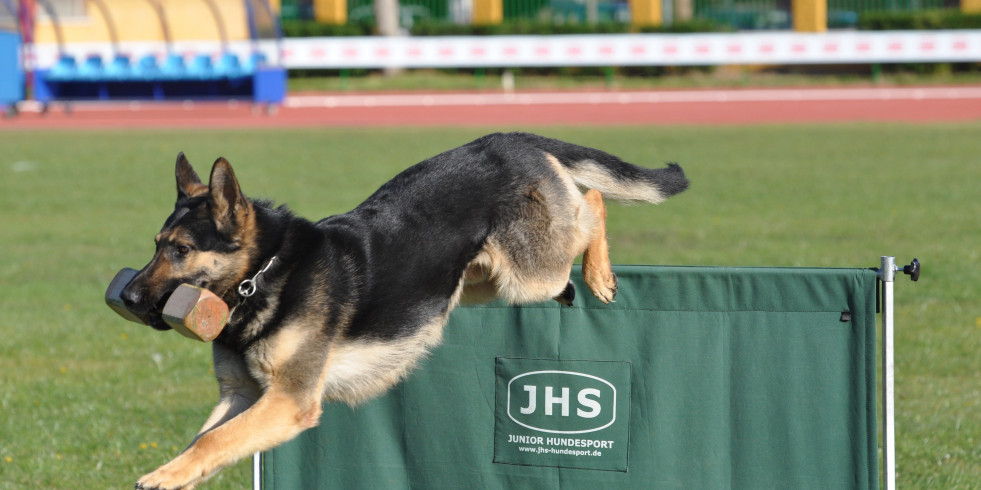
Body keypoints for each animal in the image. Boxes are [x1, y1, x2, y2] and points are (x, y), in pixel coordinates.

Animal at [122, 132, 684, 488]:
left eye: (181, 250)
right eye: (155, 246)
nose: (126, 298)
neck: (265, 273)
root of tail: (512, 138)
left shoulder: (288, 401)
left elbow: (211, 443)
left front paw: (160, 477)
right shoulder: (243, 396)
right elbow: (207, 441)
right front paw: (174, 475)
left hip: (528, 274)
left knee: (592, 205)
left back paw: (599, 275)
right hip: (479, 282)